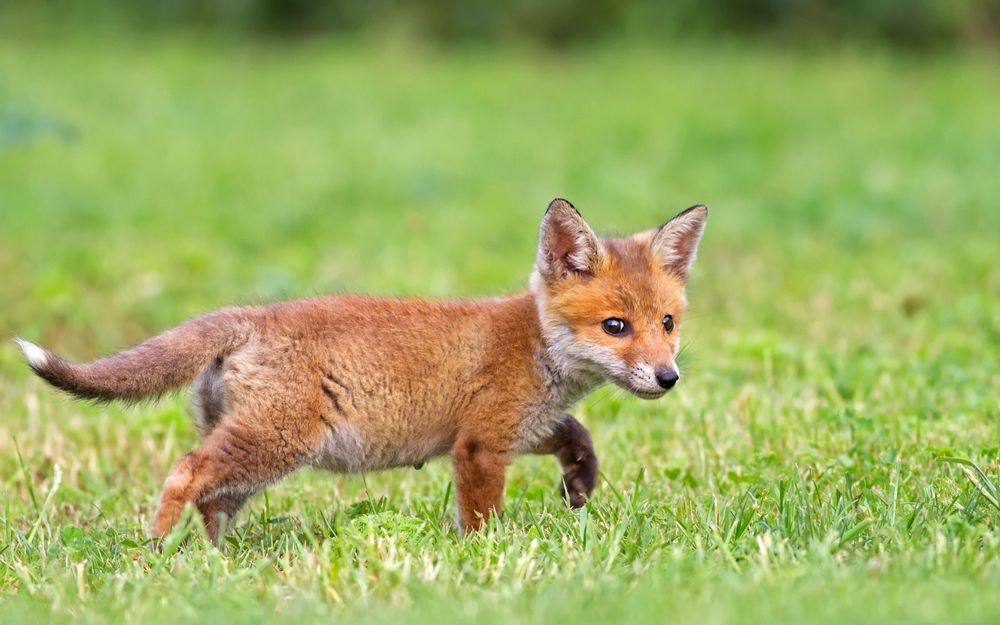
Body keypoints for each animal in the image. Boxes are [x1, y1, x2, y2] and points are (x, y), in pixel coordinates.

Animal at [13, 200, 704, 540]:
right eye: (616, 327)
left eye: (668, 323)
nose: (667, 378)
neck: (534, 344)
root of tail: (248, 314)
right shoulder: (480, 444)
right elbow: (481, 517)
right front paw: (486, 560)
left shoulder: (520, 427)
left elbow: (576, 436)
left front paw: (579, 485)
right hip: (273, 442)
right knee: (185, 471)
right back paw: (157, 551)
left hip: (252, 455)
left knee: (212, 499)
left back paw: (214, 563)